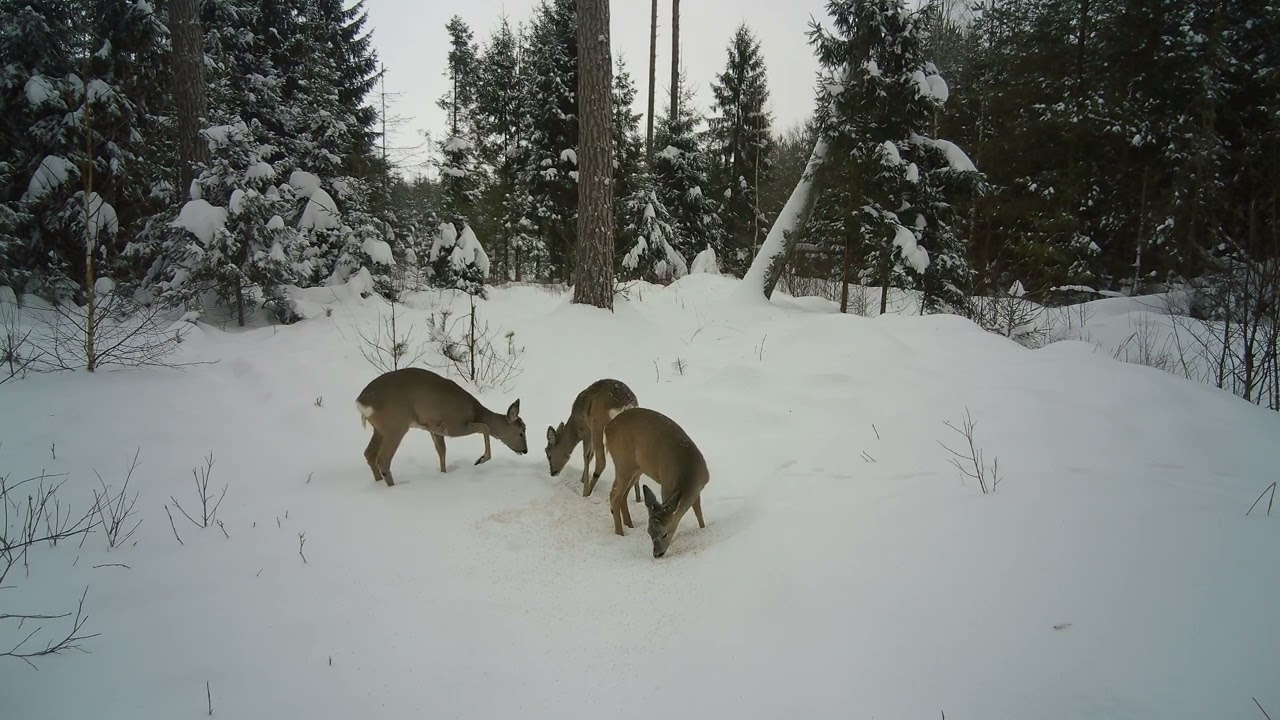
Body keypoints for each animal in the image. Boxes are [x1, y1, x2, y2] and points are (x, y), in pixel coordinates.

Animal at [355, 367, 528, 486]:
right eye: (521, 432)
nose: (525, 450)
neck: (475, 412)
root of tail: (362, 401)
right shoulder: (455, 425)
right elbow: (485, 427)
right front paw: (481, 459)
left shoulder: (435, 428)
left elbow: (442, 451)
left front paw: (443, 474)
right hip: (396, 425)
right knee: (383, 459)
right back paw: (393, 487)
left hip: (380, 428)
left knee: (369, 453)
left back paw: (378, 482)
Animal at [603, 407, 708, 558]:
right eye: (649, 533)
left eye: (665, 534)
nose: (657, 554)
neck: (689, 472)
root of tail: (608, 428)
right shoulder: (666, 485)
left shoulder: (699, 489)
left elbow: (699, 513)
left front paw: (703, 529)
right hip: (623, 462)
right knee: (615, 496)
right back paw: (620, 534)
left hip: (637, 468)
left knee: (621, 494)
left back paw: (630, 525)